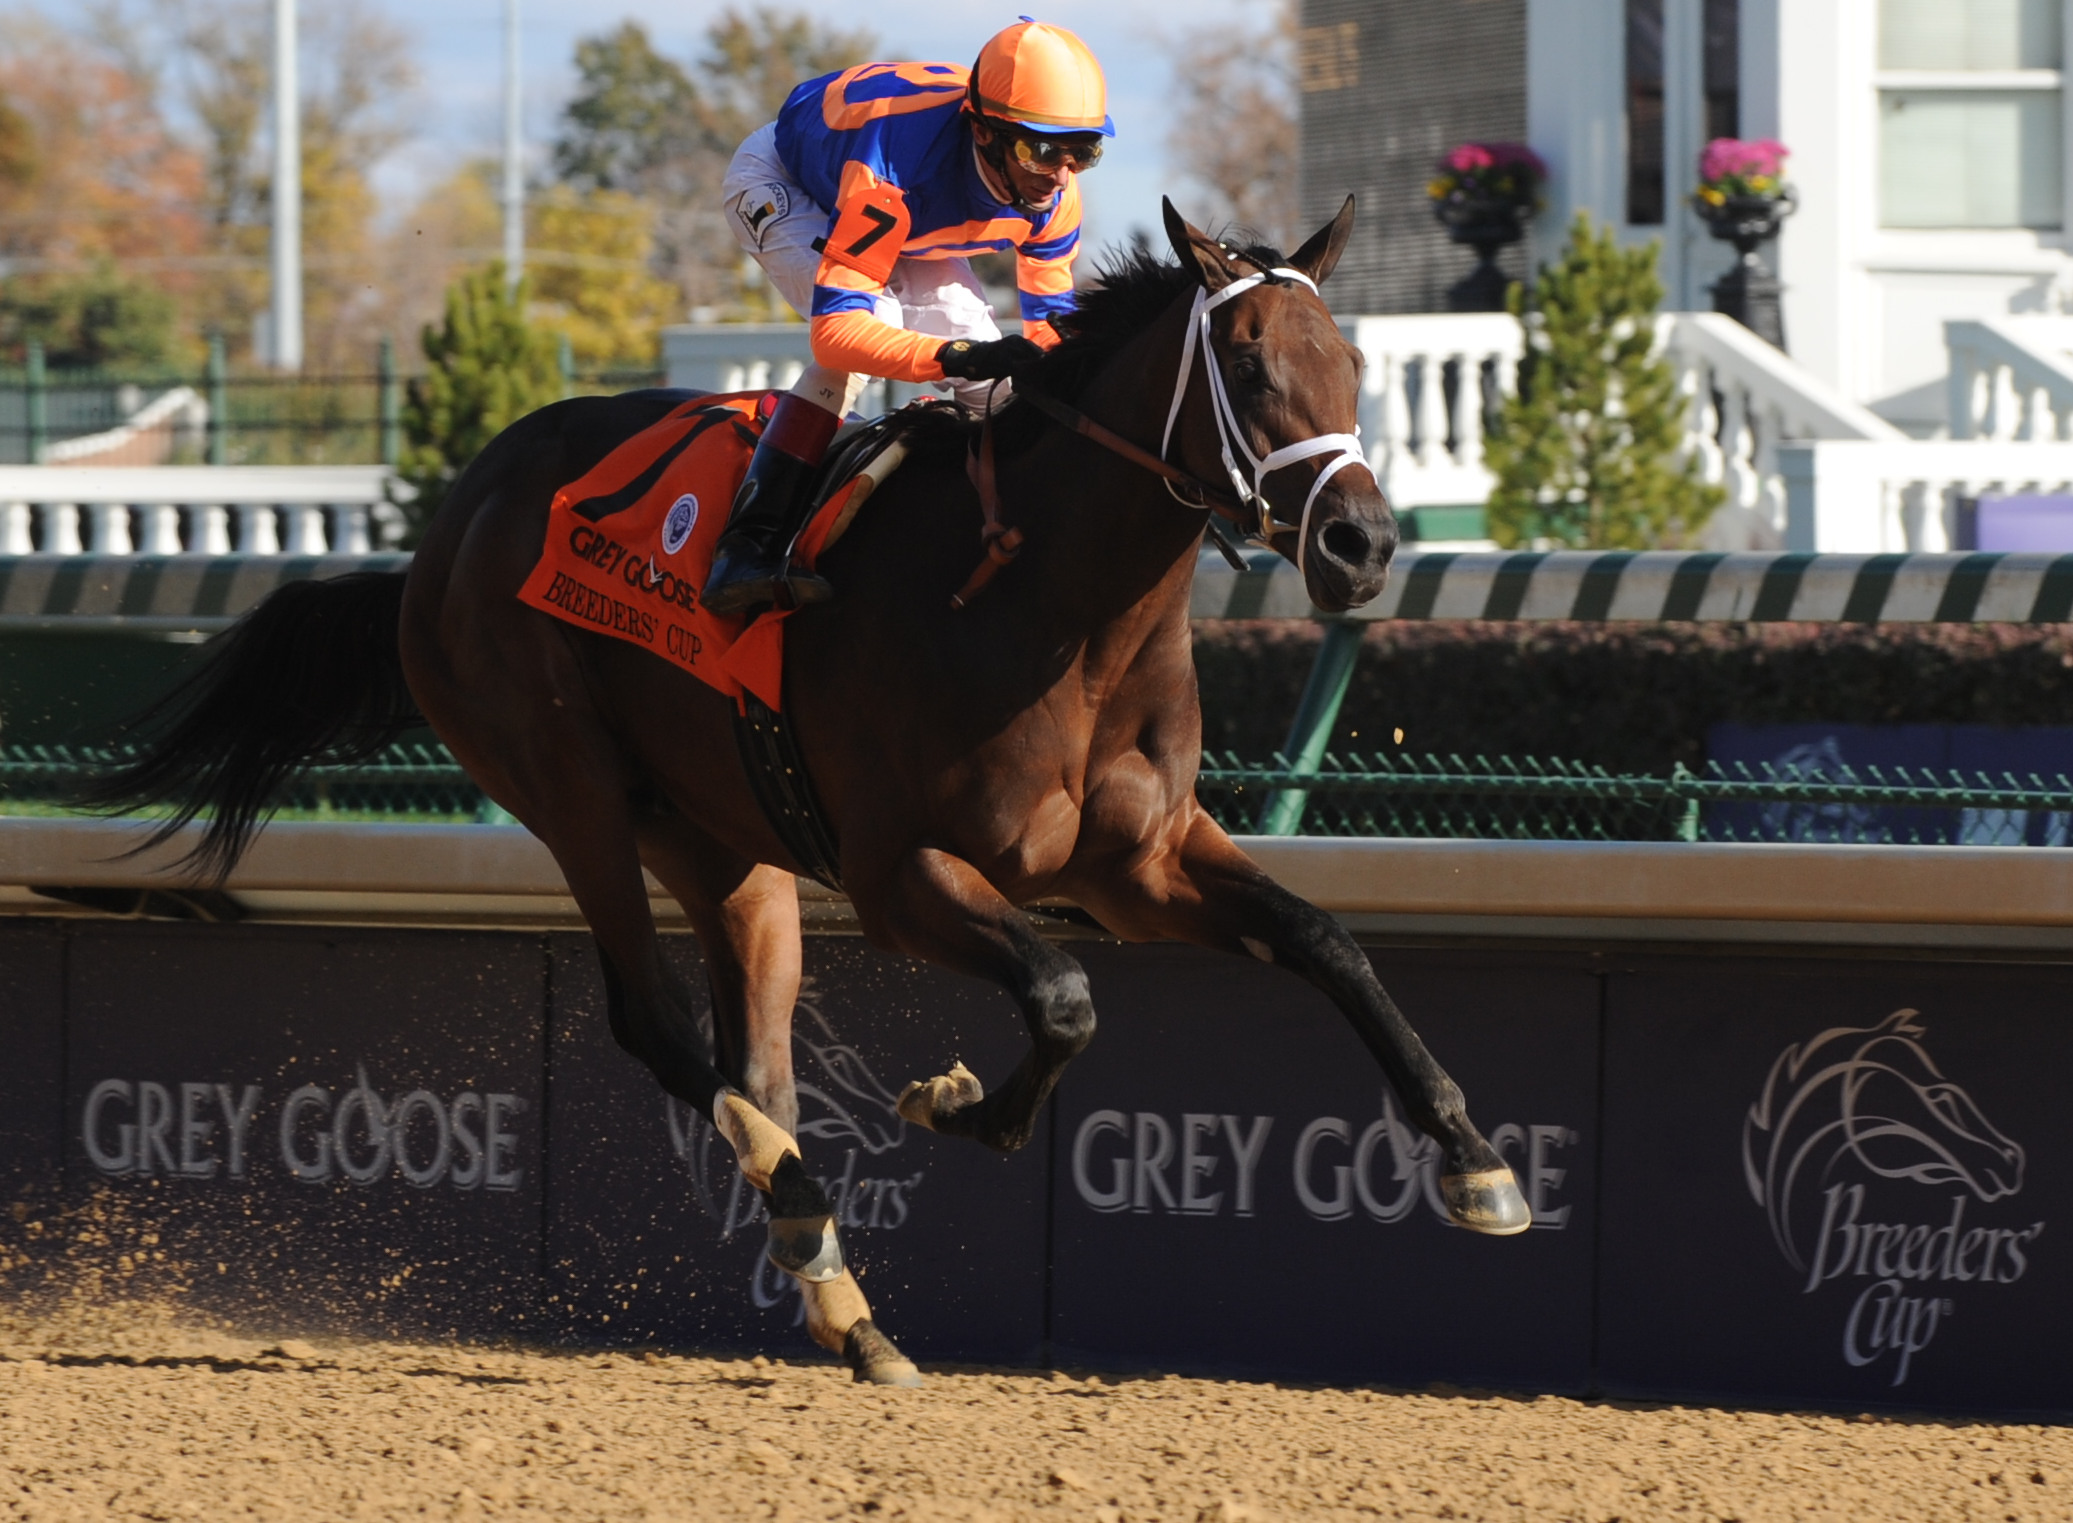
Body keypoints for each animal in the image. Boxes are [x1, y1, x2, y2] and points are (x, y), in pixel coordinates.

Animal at [89, 198, 1533, 1384]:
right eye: (1244, 365)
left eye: (1350, 364)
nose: (1360, 544)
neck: (1053, 603)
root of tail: (442, 533)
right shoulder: (902, 873)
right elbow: (1064, 996)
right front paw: (953, 1102)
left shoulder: (1139, 862)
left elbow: (1325, 939)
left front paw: (1479, 1162)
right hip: (568, 786)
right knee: (662, 1026)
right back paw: (801, 1211)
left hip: (727, 844)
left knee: (758, 1054)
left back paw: (845, 1298)